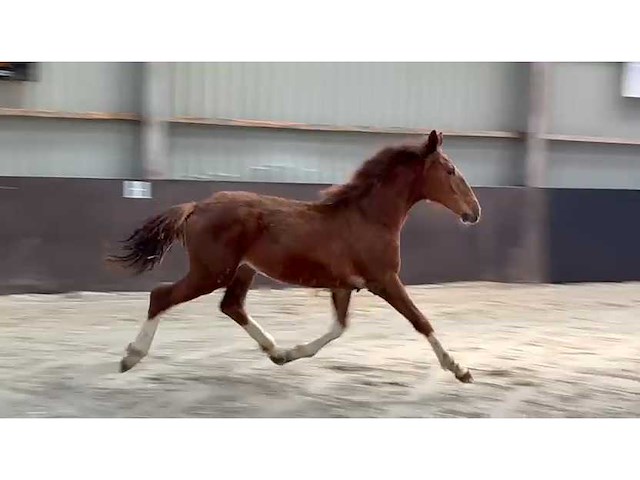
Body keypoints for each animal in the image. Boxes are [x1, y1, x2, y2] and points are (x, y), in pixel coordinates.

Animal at [107, 129, 481, 383]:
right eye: (450, 170)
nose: (475, 211)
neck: (368, 217)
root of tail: (197, 206)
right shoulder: (385, 280)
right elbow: (421, 320)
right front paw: (459, 369)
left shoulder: (344, 285)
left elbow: (339, 327)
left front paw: (292, 353)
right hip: (210, 272)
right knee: (162, 295)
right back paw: (131, 357)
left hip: (241, 270)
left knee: (232, 305)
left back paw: (275, 350)